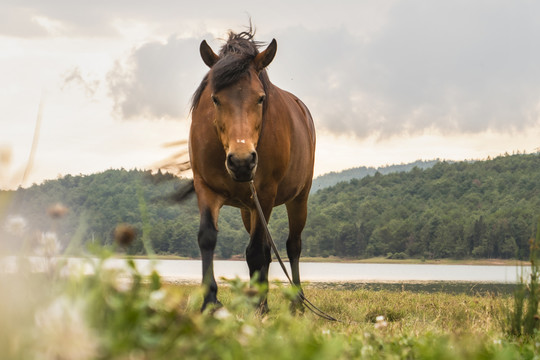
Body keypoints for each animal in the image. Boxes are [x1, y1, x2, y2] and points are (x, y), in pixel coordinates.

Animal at [190, 30, 316, 312]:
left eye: (260, 98)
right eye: (215, 98)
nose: (242, 161)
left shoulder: (266, 192)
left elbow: (258, 251)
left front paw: (259, 307)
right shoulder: (205, 188)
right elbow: (207, 238)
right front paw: (210, 302)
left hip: (298, 199)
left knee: (293, 246)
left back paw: (296, 302)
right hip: (248, 209)